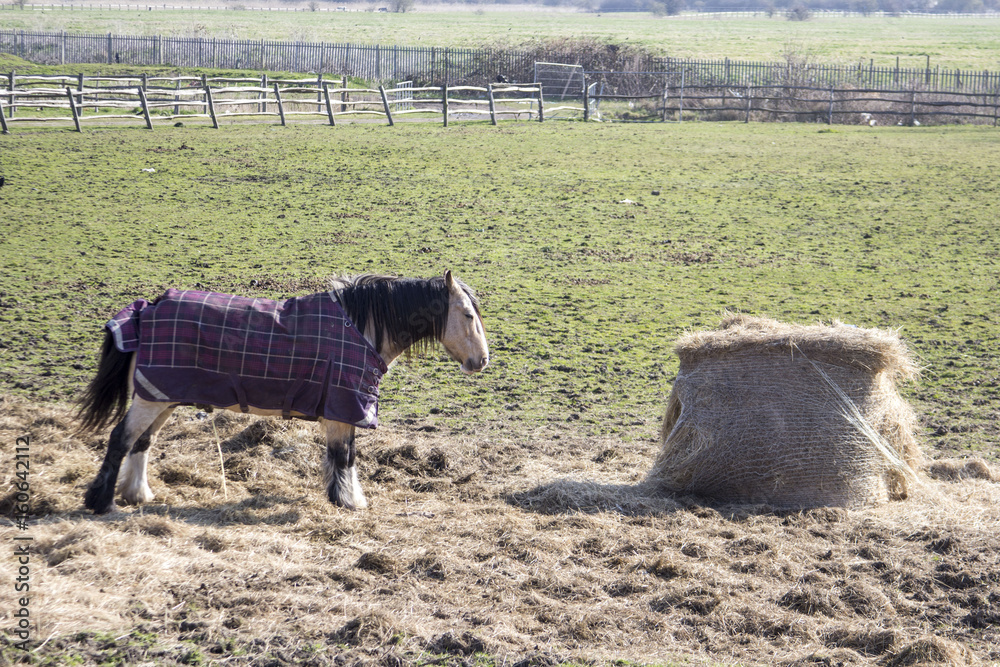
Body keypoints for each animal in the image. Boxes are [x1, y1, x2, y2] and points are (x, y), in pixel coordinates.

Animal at [77, 271, 488, 514]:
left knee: (142, 442)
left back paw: (137, 494)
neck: (361, 329)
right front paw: (348, 501)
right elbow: (343, 456)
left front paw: (346, 497)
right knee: (121, 438)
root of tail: (147, 310)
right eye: (468, 315)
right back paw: (101, 502)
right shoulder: (343, 407)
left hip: (162, 395)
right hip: (150, 398)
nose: (482, 360)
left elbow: (345, 455)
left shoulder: (345, 410)